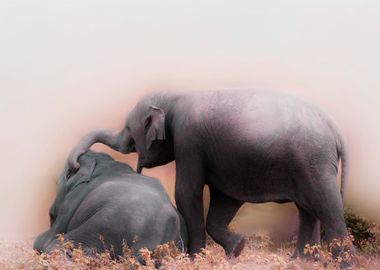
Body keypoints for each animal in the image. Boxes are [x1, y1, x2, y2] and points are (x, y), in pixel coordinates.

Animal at [67, 90, 348, 258]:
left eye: (128, 130)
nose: (76, 166)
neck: (174, 97)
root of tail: (335, 129)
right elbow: (224, 199)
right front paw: (237, 249)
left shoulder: (188, 138)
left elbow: (186, 192)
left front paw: (194, 258)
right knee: (308, 209)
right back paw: (302, 260)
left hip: (313, 161)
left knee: (326, 206)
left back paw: (341, 262)